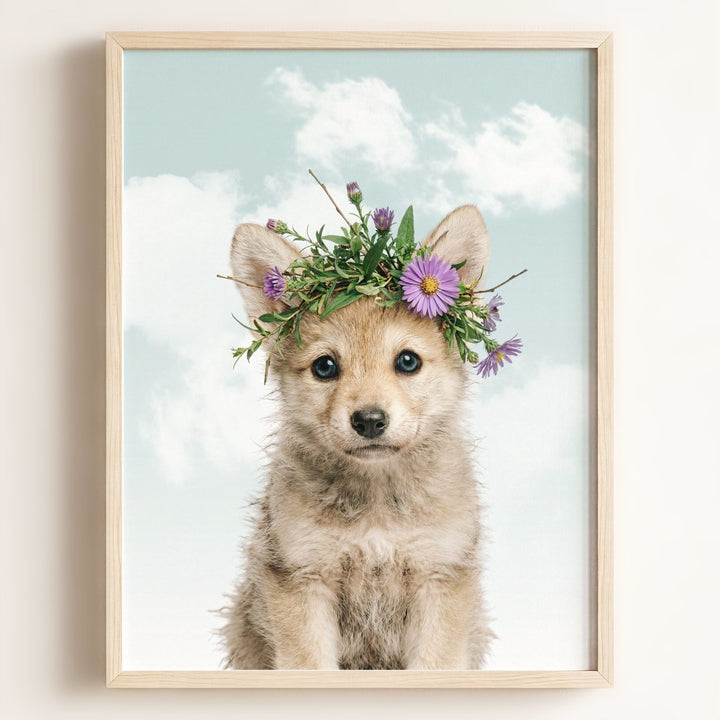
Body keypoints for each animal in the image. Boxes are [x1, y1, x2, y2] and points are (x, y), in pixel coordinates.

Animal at [221, 205, 494, 670]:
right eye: (325, 367)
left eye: (407, 361)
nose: (369, 421)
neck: (377, 506)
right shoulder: (303, 579)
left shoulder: (439, 577)